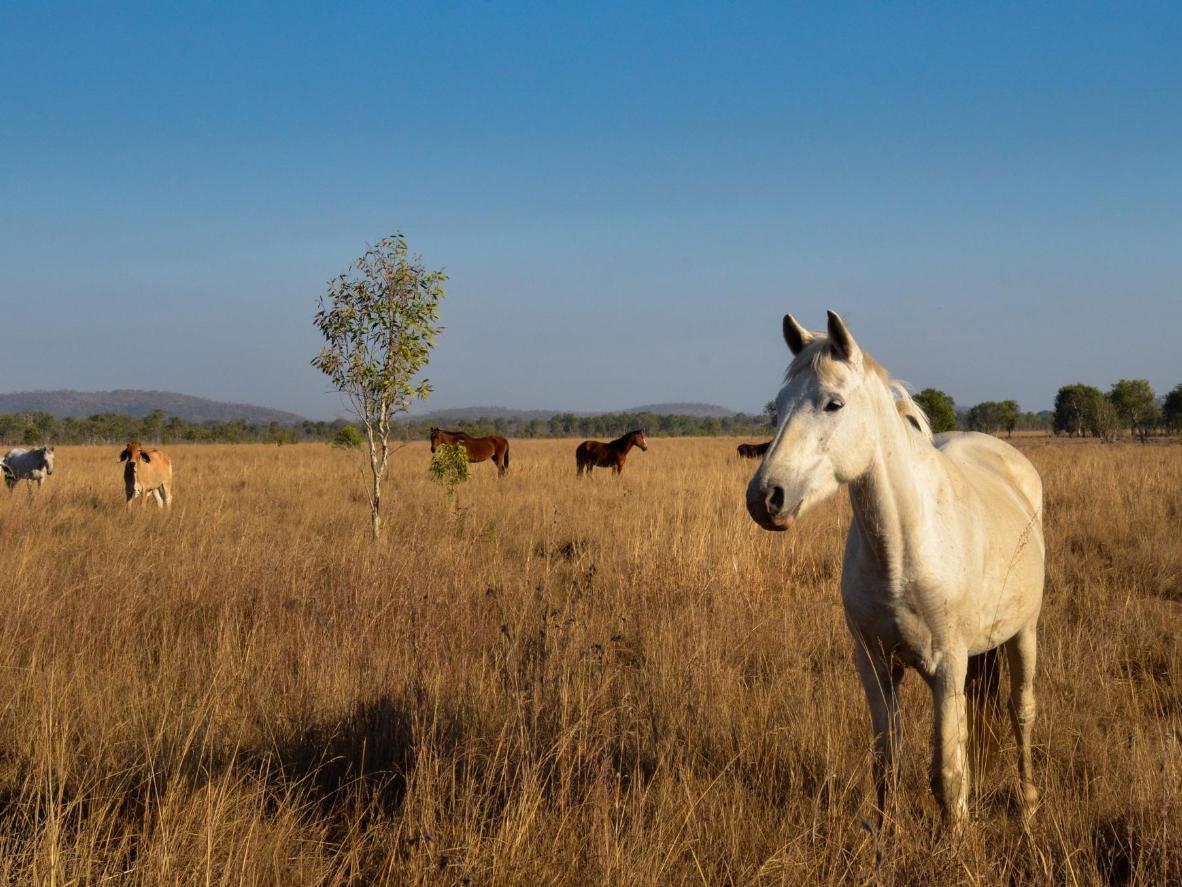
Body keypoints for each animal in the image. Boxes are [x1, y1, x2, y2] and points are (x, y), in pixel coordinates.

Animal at [747, 312, 1044, 827]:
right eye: (780, 405)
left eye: (834, 403)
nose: (765, 498)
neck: (902, 553)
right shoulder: (875, 666)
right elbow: (887, 764)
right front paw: (886, 836)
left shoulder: (947, 669)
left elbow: (948, 774)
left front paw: (956, 842)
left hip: (1023, 632)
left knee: (1020, 711)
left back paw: (1027, 806)